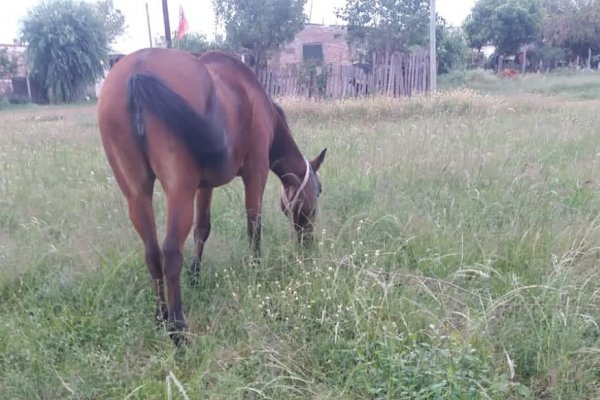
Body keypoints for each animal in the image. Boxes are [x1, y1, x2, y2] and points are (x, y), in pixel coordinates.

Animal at [96, 48, 326, 344]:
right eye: (318, 191)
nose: (307, 242)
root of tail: (137, 70)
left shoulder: (204, 186)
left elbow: (202, 228)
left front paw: (196, 274)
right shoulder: (256, 172)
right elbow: (254, 225)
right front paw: (257, 269)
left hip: (137, 193)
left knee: (152, 253)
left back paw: (160, 316)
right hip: (178, 191)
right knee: (171, 252)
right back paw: (177, 328)